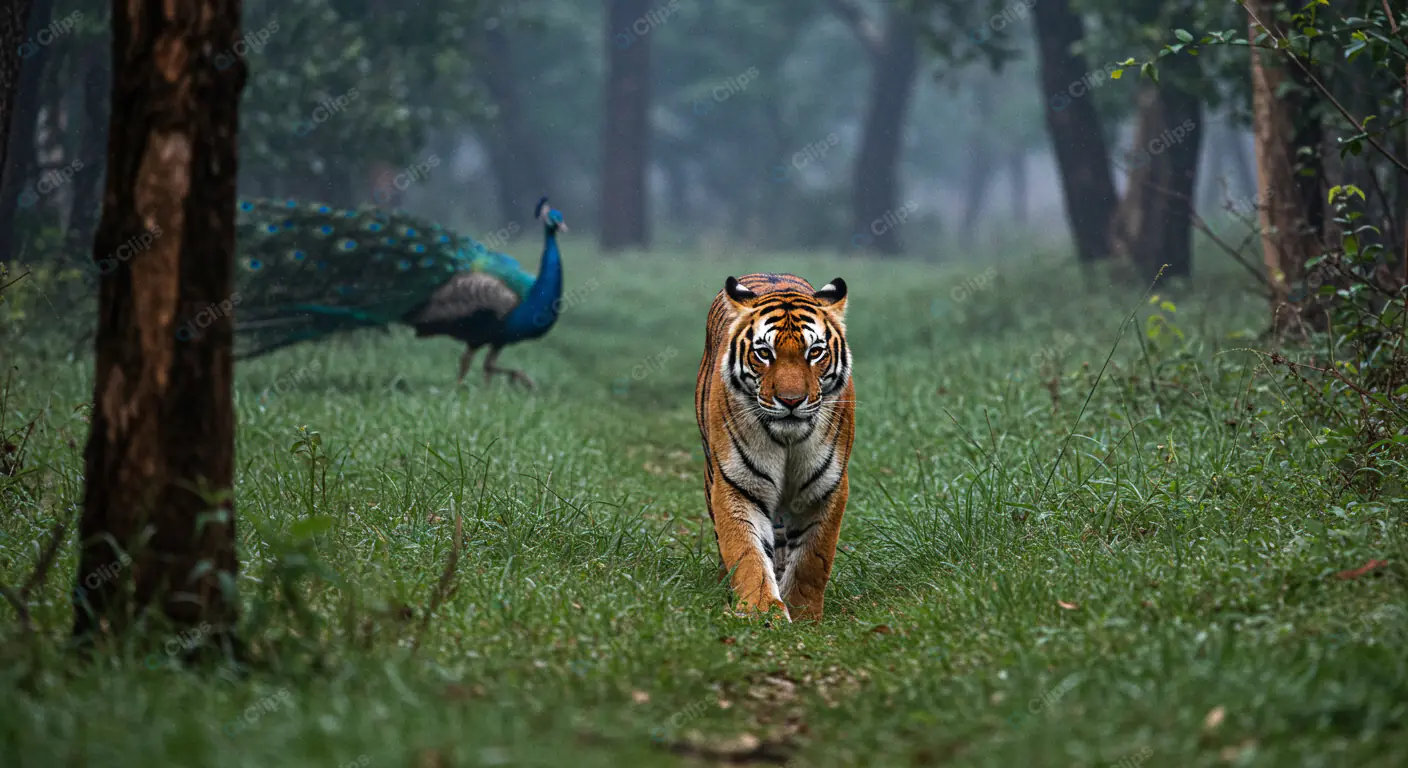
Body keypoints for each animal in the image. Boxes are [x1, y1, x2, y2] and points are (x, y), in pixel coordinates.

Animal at [694, 273, 854, 622]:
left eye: (815, 352)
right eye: (764, 353)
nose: (791, 401)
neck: (788, 441)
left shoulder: (826, 488)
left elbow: (812, 559)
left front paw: (805, 615)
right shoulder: (738, 485)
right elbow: (747, 553)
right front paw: (763, 613)